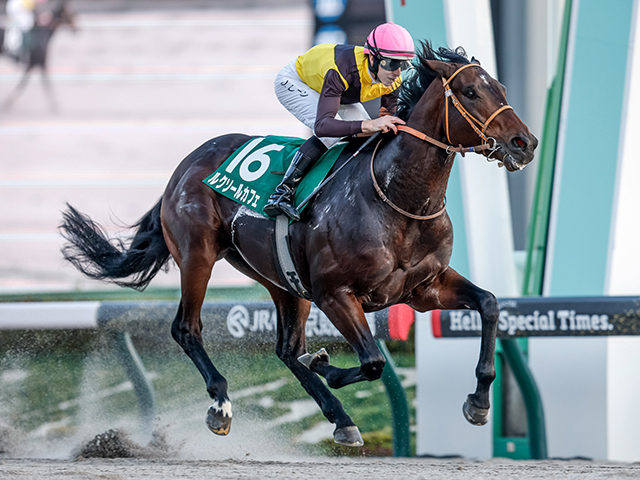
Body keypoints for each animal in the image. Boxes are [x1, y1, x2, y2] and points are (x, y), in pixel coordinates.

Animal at [59, 42, 537, 447]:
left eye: (501, 89)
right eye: (471, 92)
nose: (526, 143)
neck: (397, 198)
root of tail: (185, 165)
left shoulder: (424, 289)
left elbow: (489, 304)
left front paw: (479, 403)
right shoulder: (335, 293)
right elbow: (372, 361)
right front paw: (324, 364)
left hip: (281, 280)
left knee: (286, 350)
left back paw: (341, 419)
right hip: (199, 256)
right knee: (187, 328)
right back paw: (221, 404)